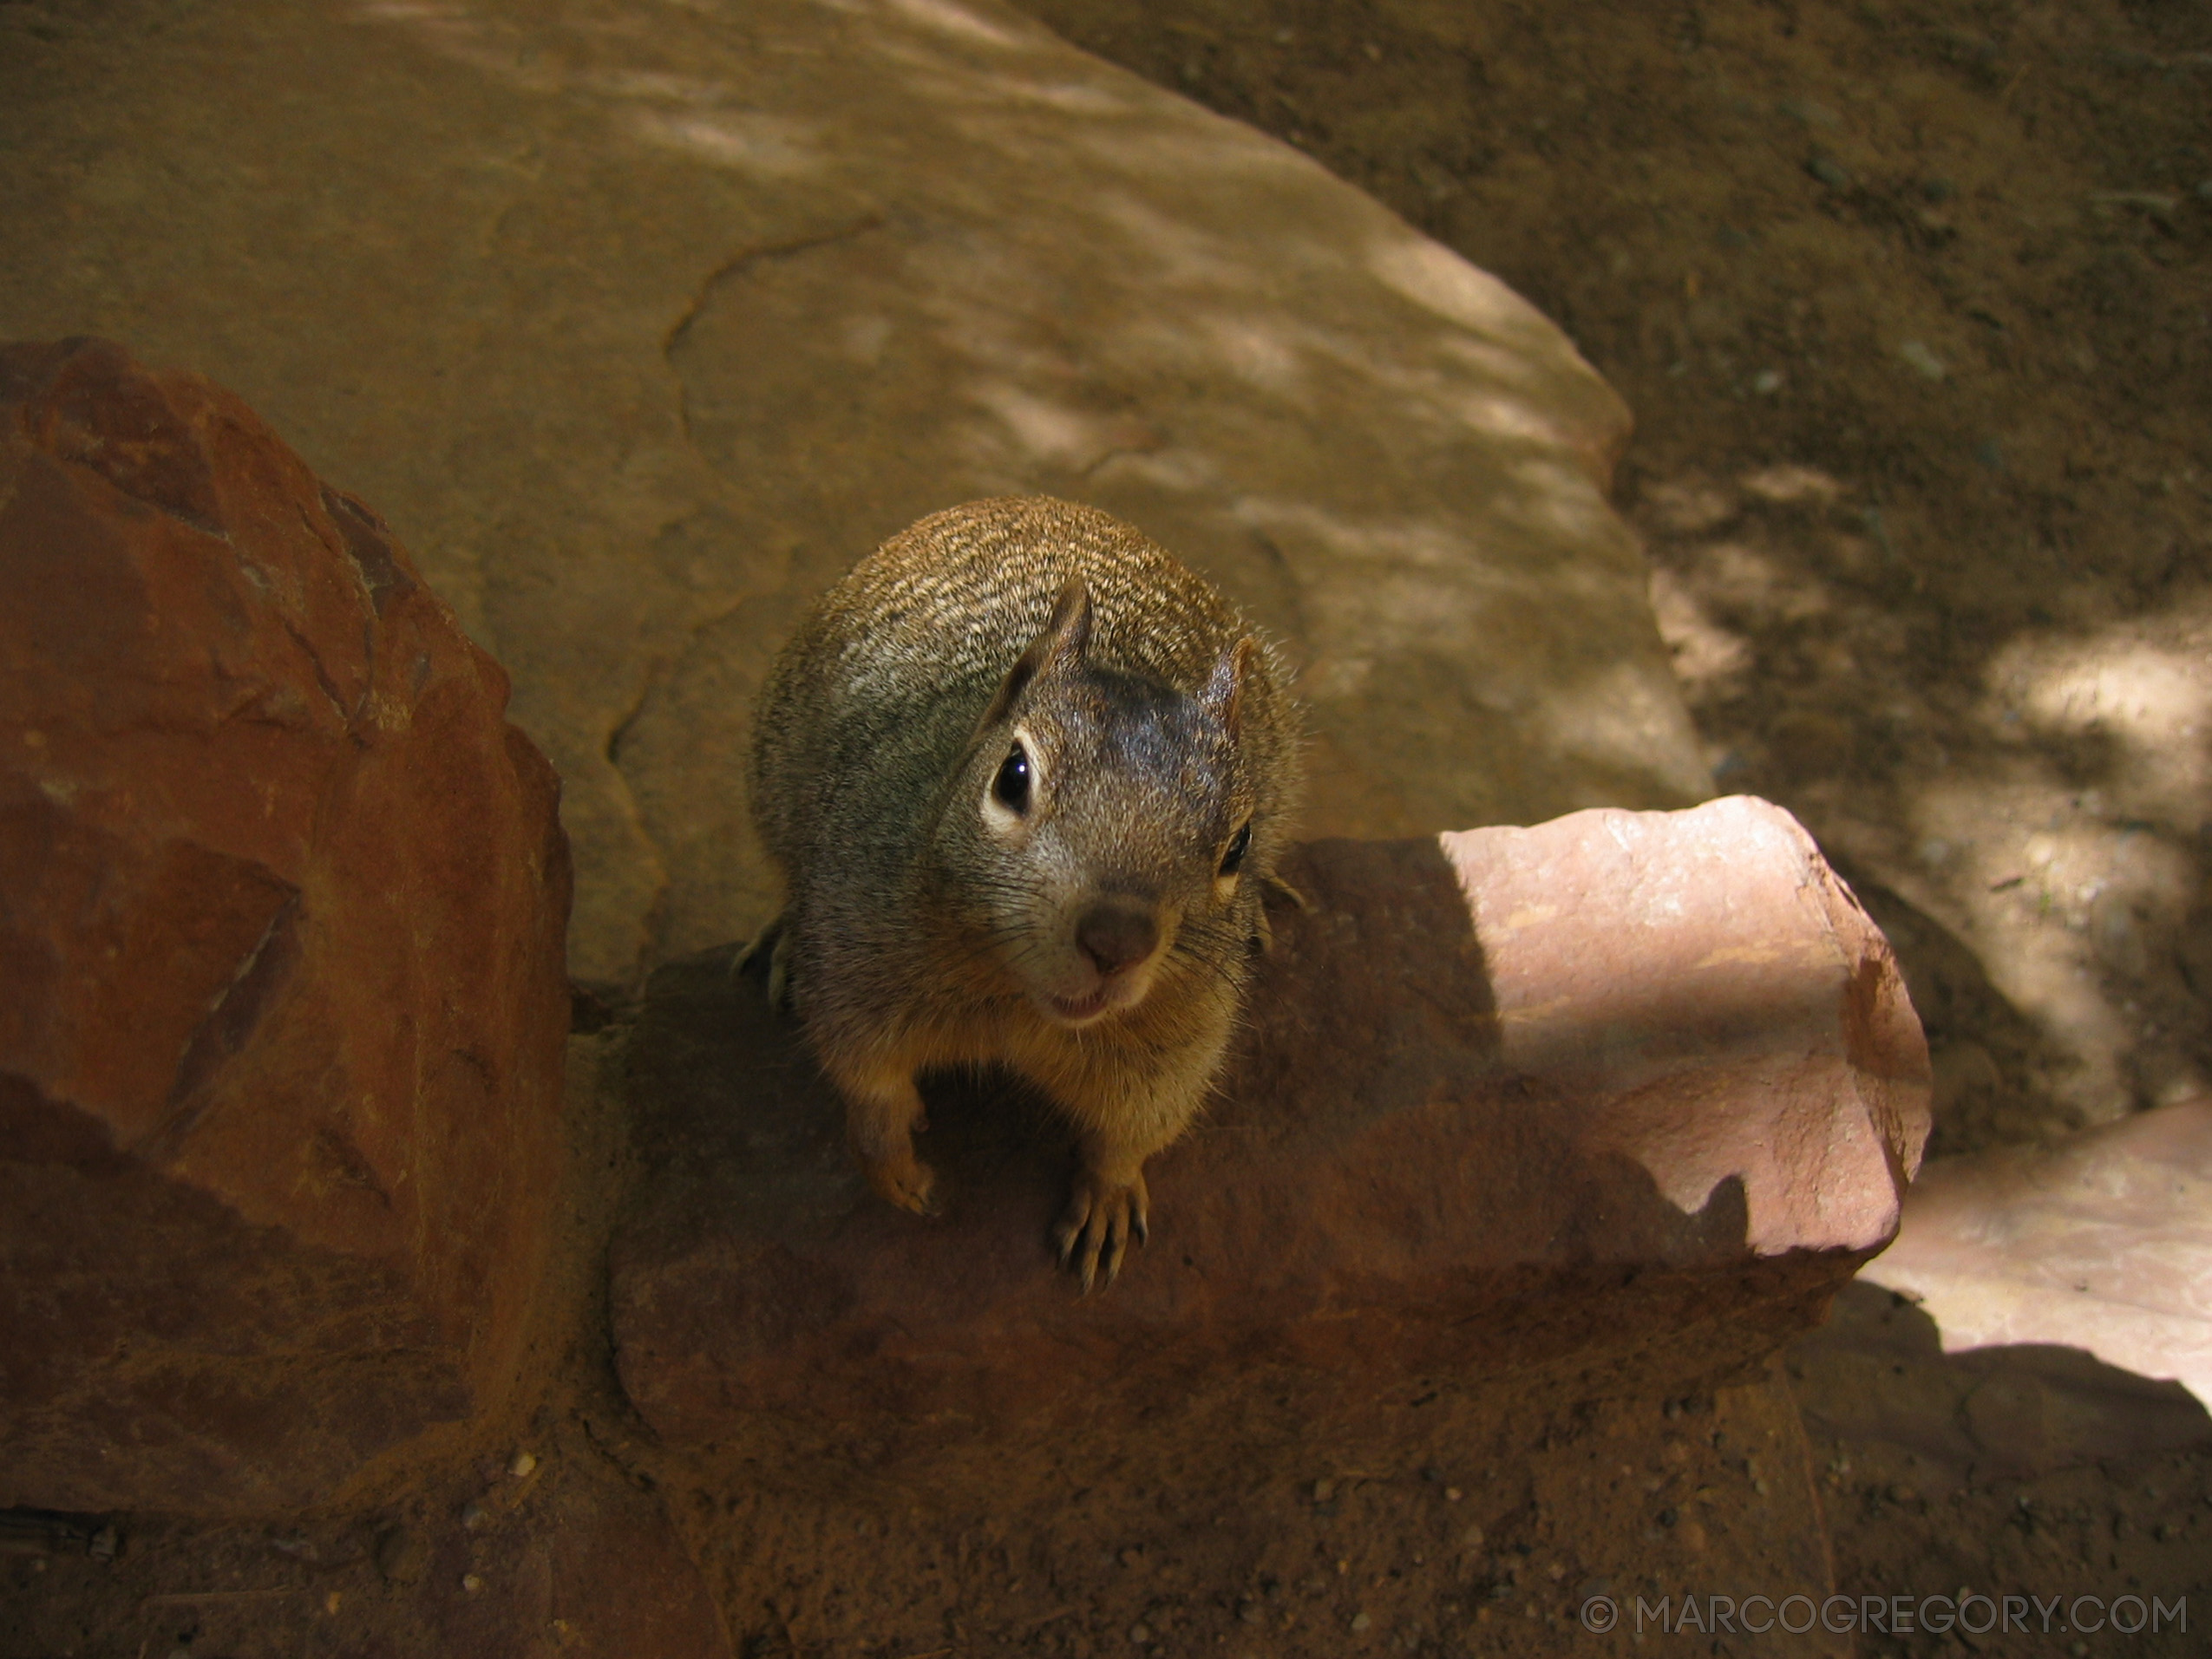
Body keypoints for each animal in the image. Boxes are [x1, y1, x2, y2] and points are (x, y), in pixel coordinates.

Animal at [747, 500, 1292, 1291]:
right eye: (1012, 775)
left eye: (1239, 844)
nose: (1116, 942)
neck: (1016, 1002)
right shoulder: (855, 946)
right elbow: (864, 1075)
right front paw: (896, 1168)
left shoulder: (1182, 1036)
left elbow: (1137, 1127)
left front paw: (1107, 1197)